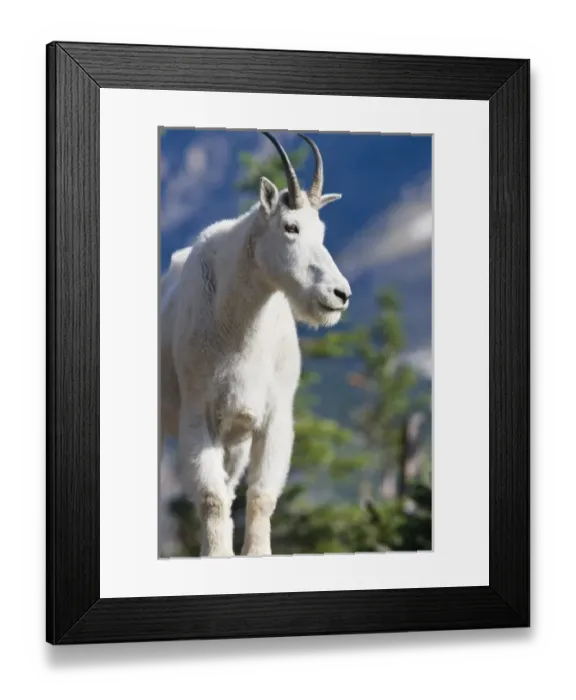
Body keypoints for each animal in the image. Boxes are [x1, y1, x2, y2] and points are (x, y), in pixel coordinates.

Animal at [159, 132, 351, 557]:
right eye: (290, 227)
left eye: (322, 231)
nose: (340, 294)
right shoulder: (198, 414)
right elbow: (211, 496)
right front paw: (218, 555)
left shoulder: (274, 418)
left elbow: (260, 495)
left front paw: (255, 553)